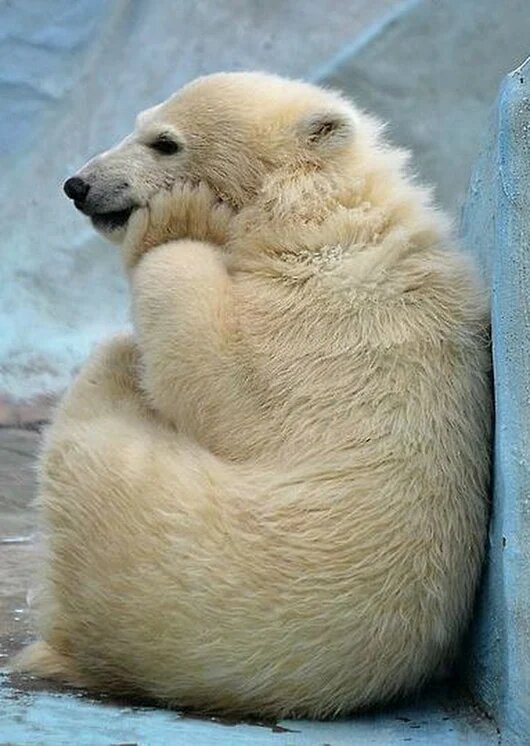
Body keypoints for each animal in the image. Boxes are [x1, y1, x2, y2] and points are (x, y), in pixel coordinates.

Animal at [13, 72, 491, 720]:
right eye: (139, 123)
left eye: (165, 142)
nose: (77, 185)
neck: (316, 213)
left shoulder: (320, 317)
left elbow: (220, 375)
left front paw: (177, 218)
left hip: (158, 543)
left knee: (102, 397)